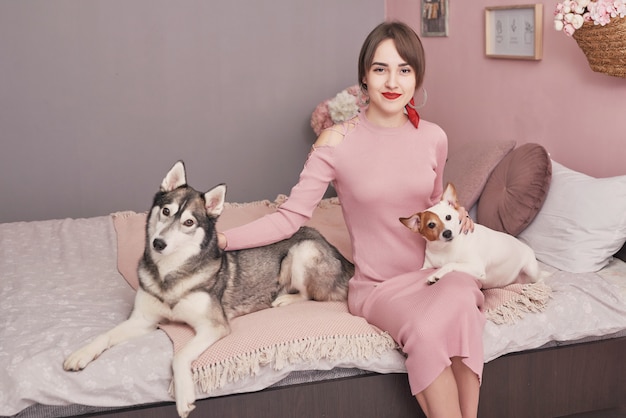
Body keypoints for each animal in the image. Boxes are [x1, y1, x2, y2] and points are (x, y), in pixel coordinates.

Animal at [66, 161, 356, 418]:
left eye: (189, 223)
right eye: (166, 211)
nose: (159, 243)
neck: (170, 274)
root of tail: (325, 240)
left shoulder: (214, 326)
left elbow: (179, 355)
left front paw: (184, 396)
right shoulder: (143, 320)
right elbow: (105, 335)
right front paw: (81, 354)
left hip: (303, 250)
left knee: (309, 294)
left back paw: (285, 300)